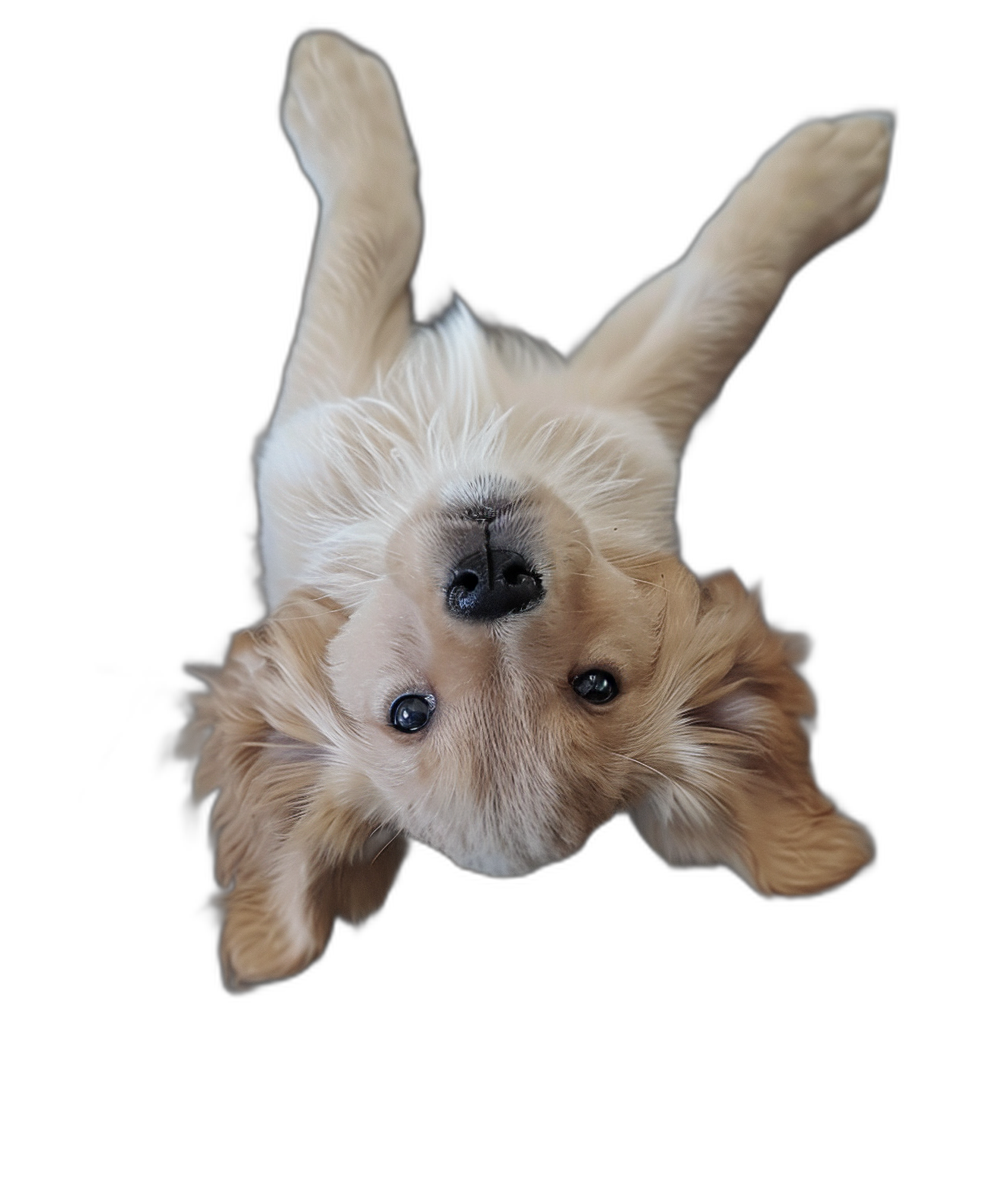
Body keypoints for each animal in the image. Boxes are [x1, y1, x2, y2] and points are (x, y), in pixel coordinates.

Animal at [178, 30, 890, 989]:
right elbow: (372, 236)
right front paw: (336, 86)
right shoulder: (325, 415)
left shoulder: (618, 413)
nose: (490, 577)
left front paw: (831, 163)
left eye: (596, 685)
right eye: (410, 712)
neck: (465, 445)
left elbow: (716, 293)